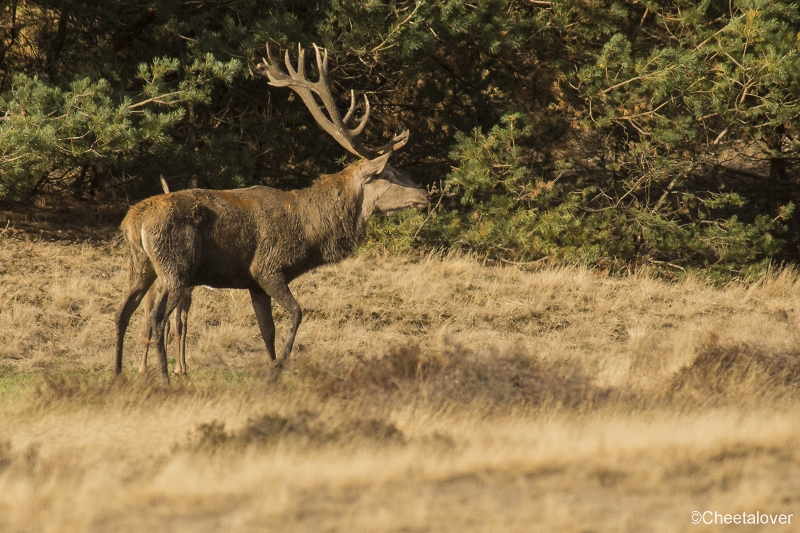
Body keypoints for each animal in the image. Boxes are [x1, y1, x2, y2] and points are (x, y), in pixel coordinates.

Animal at [115, 43, 428, 380]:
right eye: (389, 173)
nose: (424, 194)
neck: (310, 231)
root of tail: (133, 221)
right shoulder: (267, 268)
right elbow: (297, 314)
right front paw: (279, 368)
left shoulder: (253, 284)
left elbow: (268, 331)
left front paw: (271, 372)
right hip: (176, 266)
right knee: (157, 318)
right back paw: (164, 377)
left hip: (140, 264)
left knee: (122, 312)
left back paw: (117, 373)